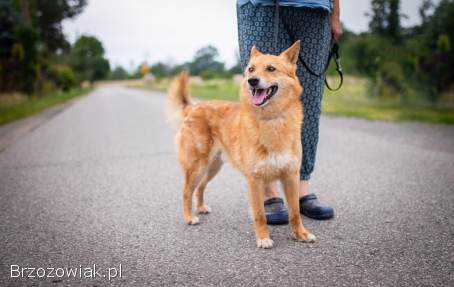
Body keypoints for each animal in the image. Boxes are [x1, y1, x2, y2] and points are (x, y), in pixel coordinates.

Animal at [167, 41, 316, 250]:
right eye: (251, 69)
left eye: (271, 68)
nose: (252, 81)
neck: (271, 119)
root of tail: (194, 107)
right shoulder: (255, 180)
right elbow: (260, 215)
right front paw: (263, 238)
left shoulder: (291, 176)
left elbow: (295, 212)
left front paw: (301, 234)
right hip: (197, 166)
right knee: (186, 191)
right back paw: (189, 217)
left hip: (212, 167)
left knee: (200, 187)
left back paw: (201, 208)